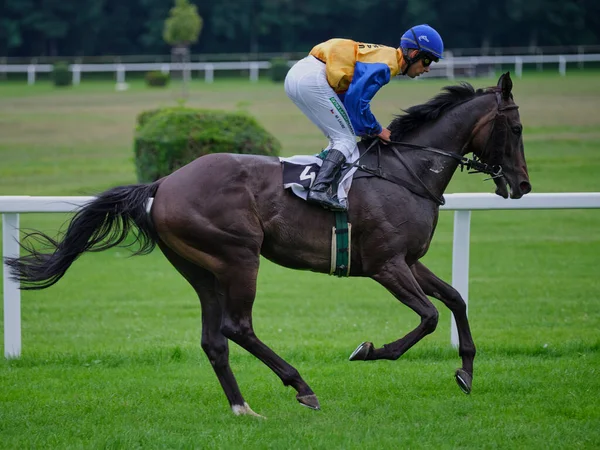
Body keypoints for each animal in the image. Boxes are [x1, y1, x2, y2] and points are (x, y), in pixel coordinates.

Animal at [4, 71, 528, 418]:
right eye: (518, 129)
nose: (522, 185)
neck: (405, 173)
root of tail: (162, 183)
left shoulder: (409, 260)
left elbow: (455, 299)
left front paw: (465, 371)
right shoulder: (385, 264)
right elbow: (429, 316)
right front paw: (369, 350)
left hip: (202, 270)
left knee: (214, 339)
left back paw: (243, 407)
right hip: (239, 256)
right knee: (238, 327)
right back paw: (301, 386)